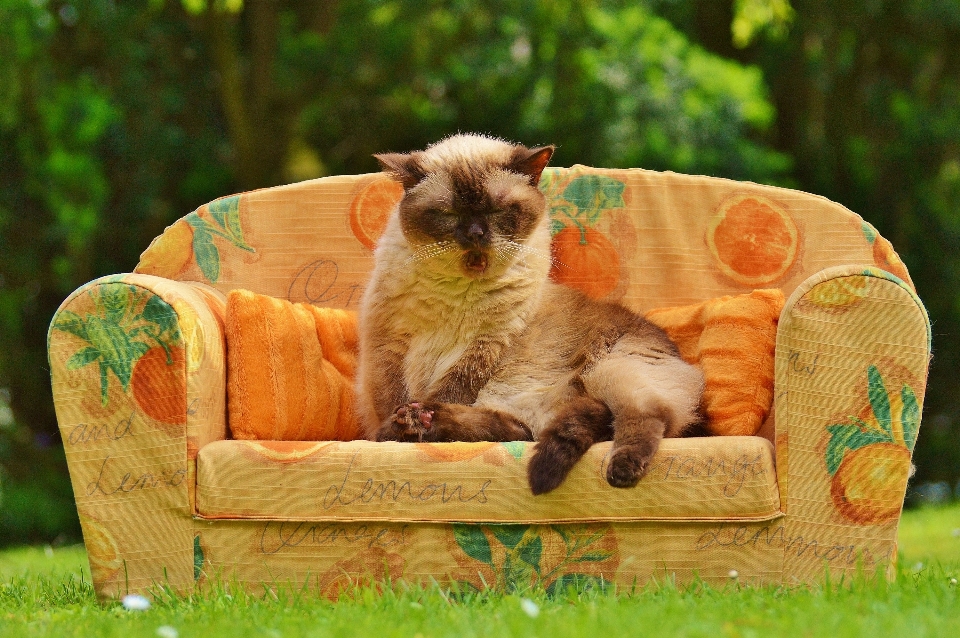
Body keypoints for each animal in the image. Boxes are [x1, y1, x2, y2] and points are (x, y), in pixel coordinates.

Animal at [356, 134, 700, 496]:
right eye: (449, 213)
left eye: (496, 210)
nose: (476, 233)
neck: (461, 290)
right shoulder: (391, 342)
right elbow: (391, 396)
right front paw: (392, 429)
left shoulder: (488, 341)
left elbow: (452, 386)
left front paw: (400, 426)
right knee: (516, 431)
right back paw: (425, 424)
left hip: (612, 373)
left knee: (646, 419)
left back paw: (621, 472)